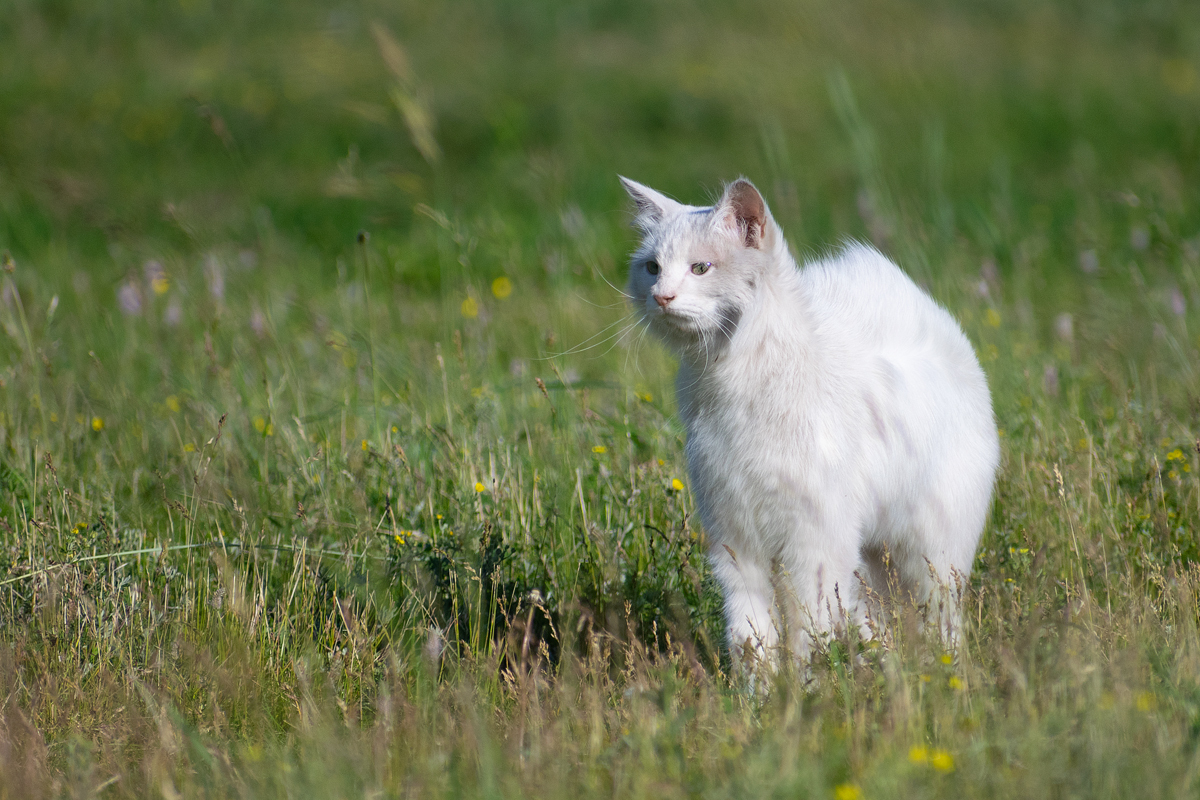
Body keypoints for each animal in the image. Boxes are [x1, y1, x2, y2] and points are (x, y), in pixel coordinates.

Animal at [624, 178, 998, 666]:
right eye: (652, 268)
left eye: (701, 268)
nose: (661, 297)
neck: (740, 375)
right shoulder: (736, 543)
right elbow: (751, 639)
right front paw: (762, 689)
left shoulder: (814, 546)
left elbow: (806, 637)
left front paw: (808, 686)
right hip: (871, 558)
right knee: (877, 619)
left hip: (929, 553)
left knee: (944, 621)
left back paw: (944, 671)